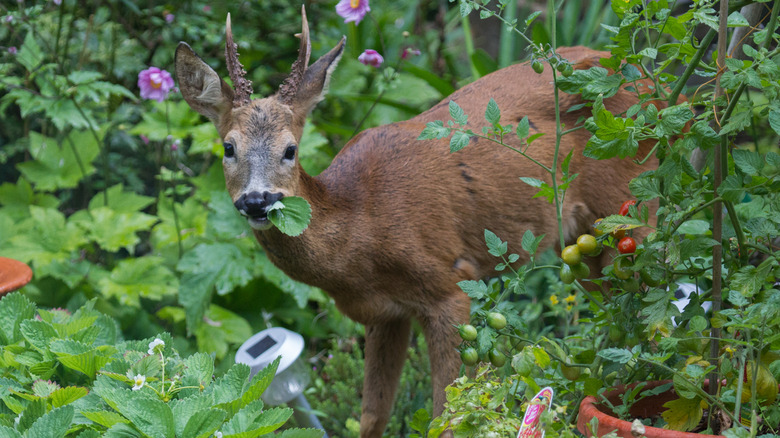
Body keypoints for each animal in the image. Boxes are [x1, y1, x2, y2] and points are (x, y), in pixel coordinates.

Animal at [175, 6, 664, 438]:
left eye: (290, 149)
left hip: (635, 202)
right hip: (584, 243)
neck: (361, 228)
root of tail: (659, 86)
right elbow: (372, 417)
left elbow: (447, 416)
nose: (258, 201)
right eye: (228, 148)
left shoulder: (449, 285)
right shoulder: (383, 314)